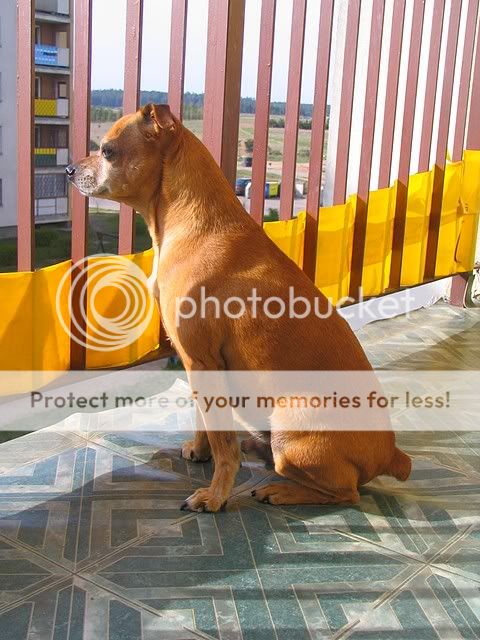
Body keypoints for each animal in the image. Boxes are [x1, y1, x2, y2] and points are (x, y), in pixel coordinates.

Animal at [67, 103, 411, 512]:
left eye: (107, 151)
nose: (68, 169)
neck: (193, 223)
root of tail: (391, 454)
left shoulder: (204, 364)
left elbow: (223, 445)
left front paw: (215, 495)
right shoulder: (195, 365)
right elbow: (205, 423)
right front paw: (200, 451)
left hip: (290, 430)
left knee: (346, 492)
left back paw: (279, 490)